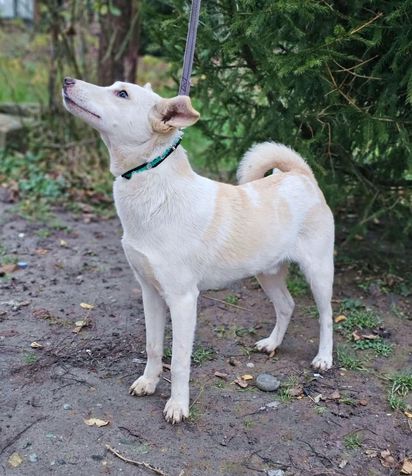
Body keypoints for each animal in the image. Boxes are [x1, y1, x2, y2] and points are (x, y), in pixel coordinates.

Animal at [62, 78, 334, 424]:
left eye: (122, 93)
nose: (68, 81)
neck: (152, 187)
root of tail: (300, 175)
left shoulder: (183, 300)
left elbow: (179, 361)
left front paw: (178, 406)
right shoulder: (149, 292)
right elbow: (153, 347)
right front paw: (148, 383)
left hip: (319, 273)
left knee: (326, 316)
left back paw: (324, 358)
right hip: (267, 273)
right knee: (286, 305)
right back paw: (272, 343)